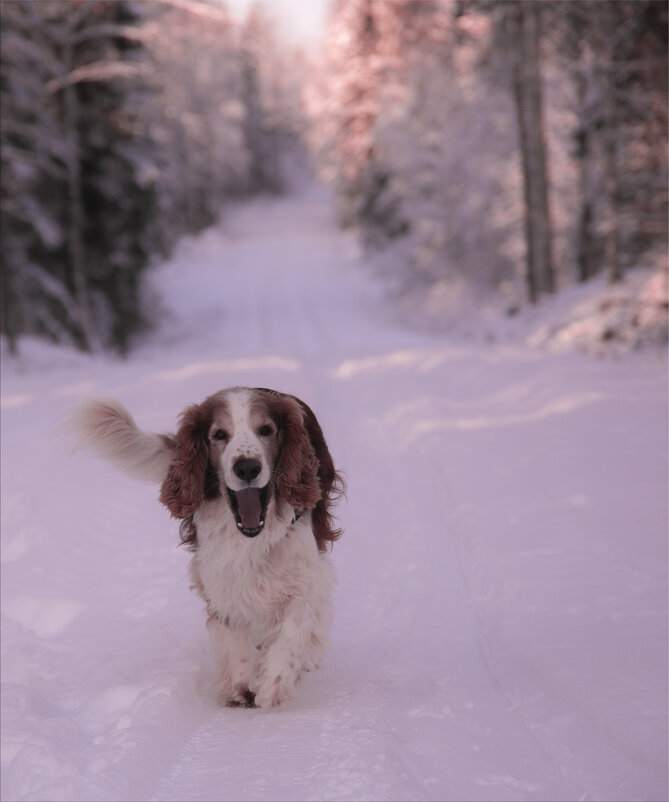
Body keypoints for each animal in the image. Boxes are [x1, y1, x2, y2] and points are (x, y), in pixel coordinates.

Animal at [72, 388, 344, 708]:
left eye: (266, 430)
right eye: (219, 434)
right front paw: (241, 684)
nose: (247, 467)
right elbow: (234, 630)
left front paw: (275, 682)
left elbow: (296, 624)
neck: (250, 537)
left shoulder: (303, 571)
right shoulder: (220, 575)